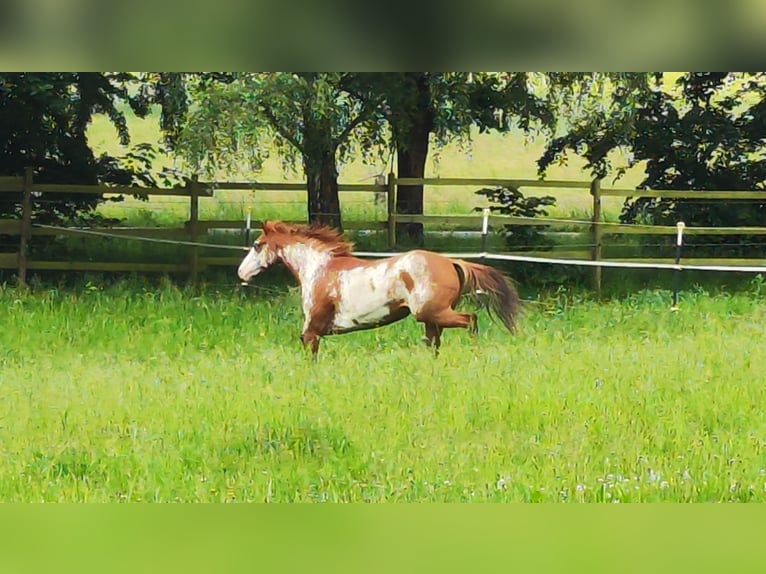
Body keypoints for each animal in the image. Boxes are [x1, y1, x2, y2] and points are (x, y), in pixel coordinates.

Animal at [237, 219, 520, 356]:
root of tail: (451, 262)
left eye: (257, 245)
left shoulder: (312, 331)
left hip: (433, 313)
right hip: (430, 319)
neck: (318, 268)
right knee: (434, 344)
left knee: (470, 320)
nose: (241, 272)